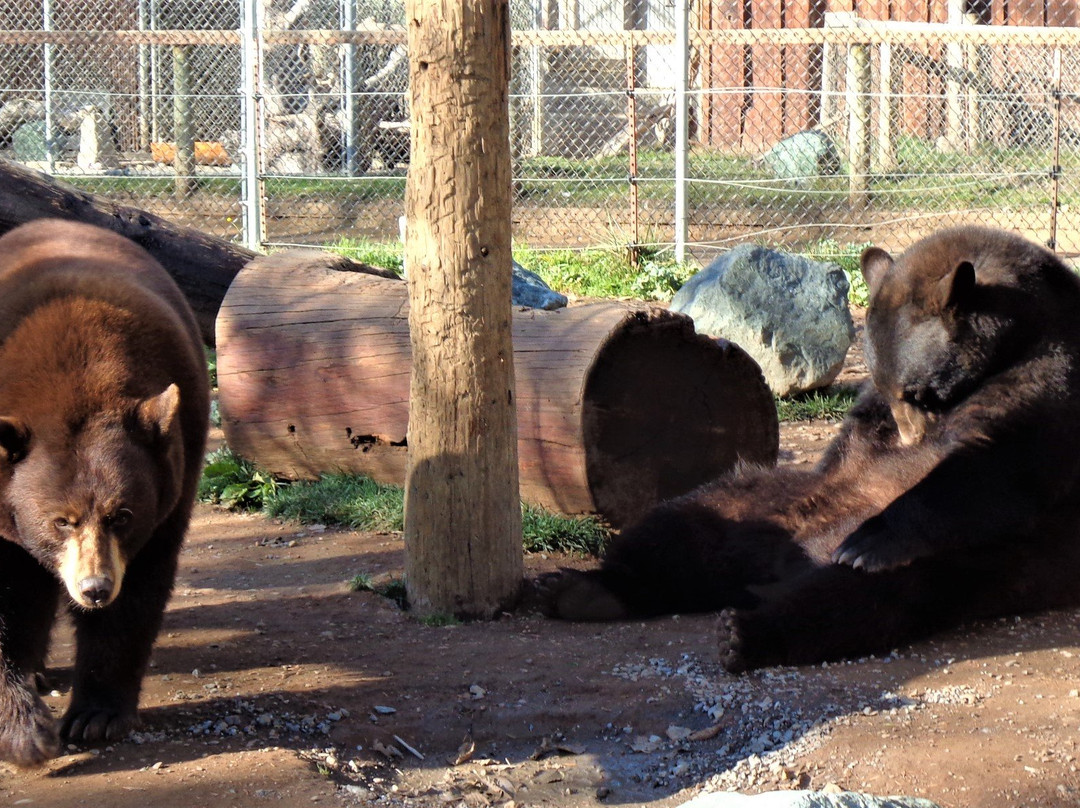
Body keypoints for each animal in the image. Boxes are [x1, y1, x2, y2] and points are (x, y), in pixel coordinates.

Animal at [0, 219, 208, 764]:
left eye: (122, 516)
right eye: (60, 520)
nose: (94, 589)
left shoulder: (174, 471)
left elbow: (139, 590)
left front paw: (95, 716)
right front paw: (25, 732)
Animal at [552, 223, 1080, 674]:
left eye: (918, 392)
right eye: (892, 389)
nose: (912, 438)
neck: (1019, 334)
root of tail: (785, 561)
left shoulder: (1047, 384)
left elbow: (995, 467)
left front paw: (872, 541)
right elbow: (857, 441)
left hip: (970, 565)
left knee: (861, 598)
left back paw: (748, 632)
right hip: (759, 499)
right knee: (678, 526)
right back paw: (582, 588)